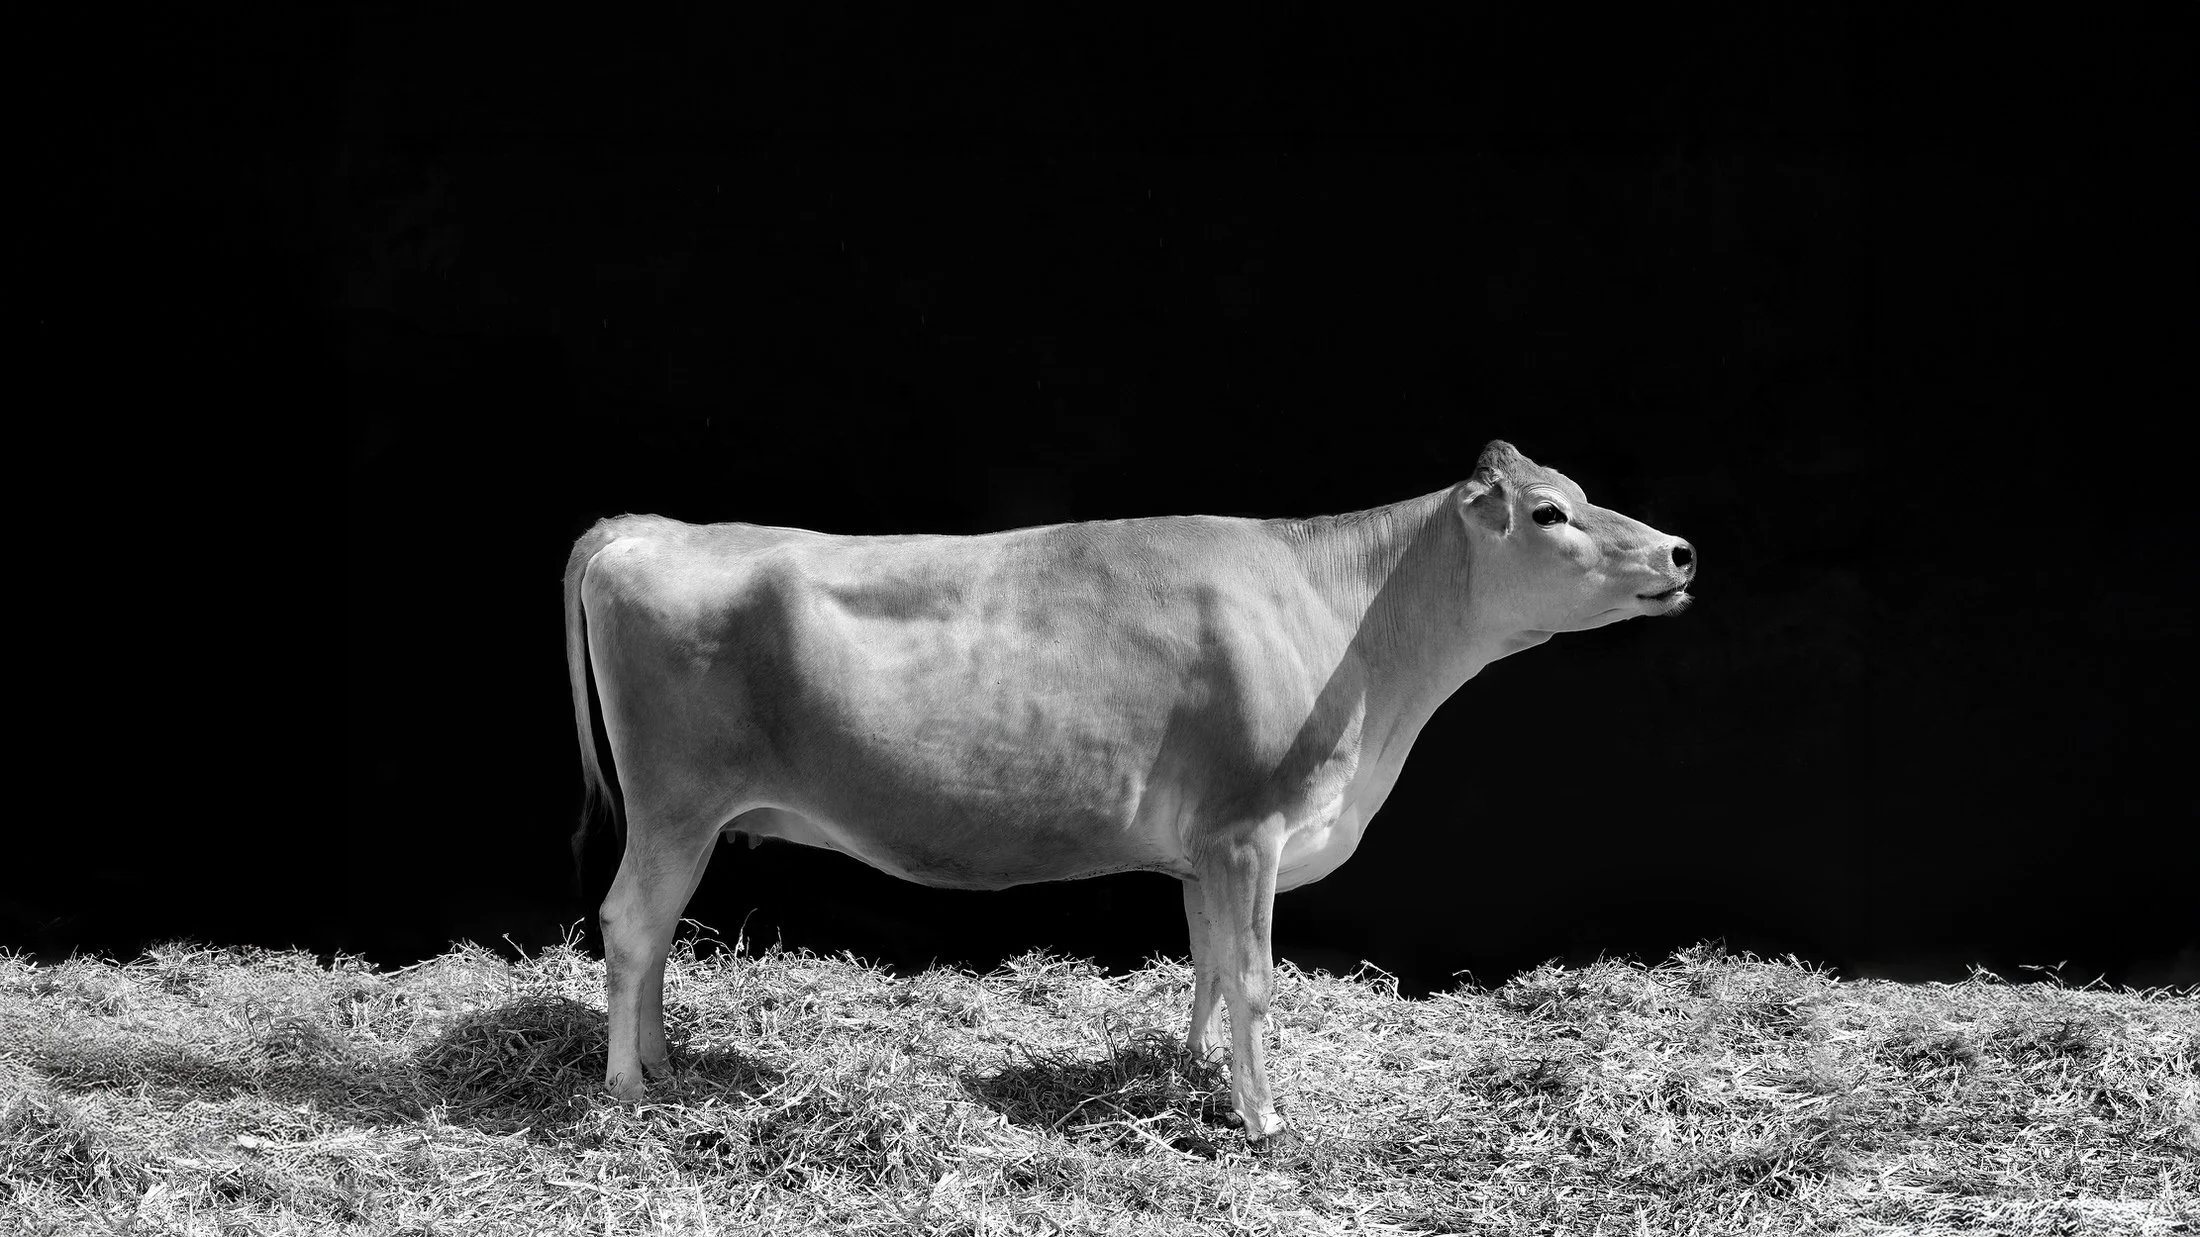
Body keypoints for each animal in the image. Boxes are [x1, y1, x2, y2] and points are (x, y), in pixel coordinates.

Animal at [563, 439, 1693, 1147]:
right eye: (1550, 513)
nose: (1681, 550)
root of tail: (649, 526)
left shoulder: (1209, 846)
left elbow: (1208, 962)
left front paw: (1197, 1073)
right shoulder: (1248, 827)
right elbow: (1254, 976)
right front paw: (1262, 1118)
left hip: (687, 817)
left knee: (656, 935)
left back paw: (665, 1065)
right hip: (674, 803)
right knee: (629, 924)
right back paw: (624, 1089)